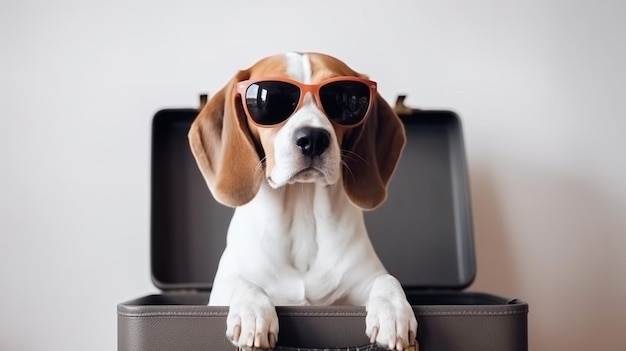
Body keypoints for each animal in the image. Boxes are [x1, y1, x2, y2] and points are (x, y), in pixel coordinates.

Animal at [188, 51, 416, 350]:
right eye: (269, 99)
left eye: (344, 98)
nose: (313, 138)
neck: (302, 209)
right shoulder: (222, 289)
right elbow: (244, 283)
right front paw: (253, 310)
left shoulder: (365, 277)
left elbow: (386, 280)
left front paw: (393, 310)